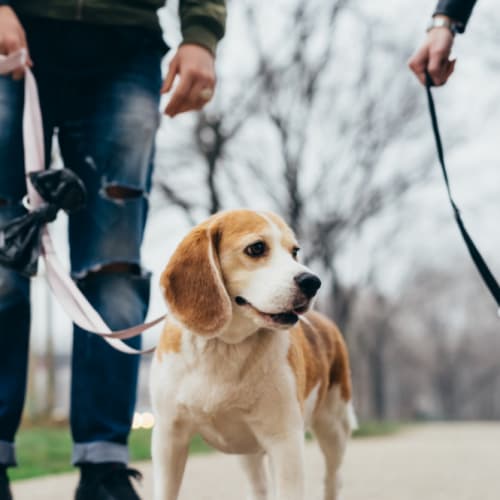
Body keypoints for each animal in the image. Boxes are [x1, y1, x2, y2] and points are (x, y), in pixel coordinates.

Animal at [150, 209, 358, 498]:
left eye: (295, 251)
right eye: (257, 248)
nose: (313, 282)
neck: (223, 346)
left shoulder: (285, 443)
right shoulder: (169, 438)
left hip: (334, 426)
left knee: (332, 479)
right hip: (247, 452)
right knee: (259, 487)